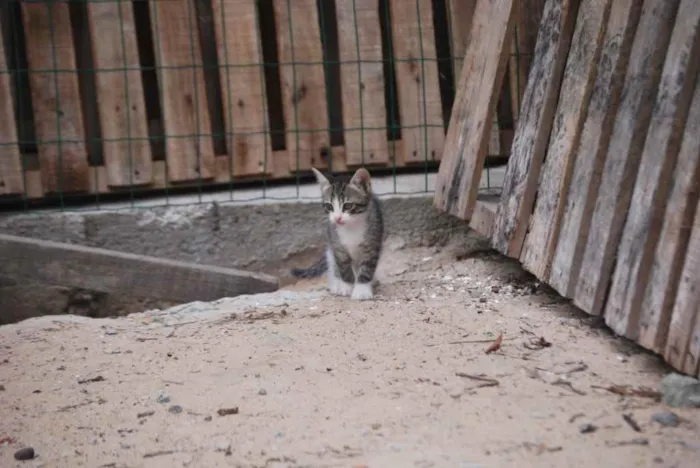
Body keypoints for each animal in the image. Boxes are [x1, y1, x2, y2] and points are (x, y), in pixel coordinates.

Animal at [292, 166, 386, 302]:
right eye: (329, 206)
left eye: (347, 205)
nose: (337, 218)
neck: (351, 227)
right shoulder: (337, 245)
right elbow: (343, 267)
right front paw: (346, 286)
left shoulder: (372, 243)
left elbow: (366, 268)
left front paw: (362, 290)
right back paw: (336, 283)